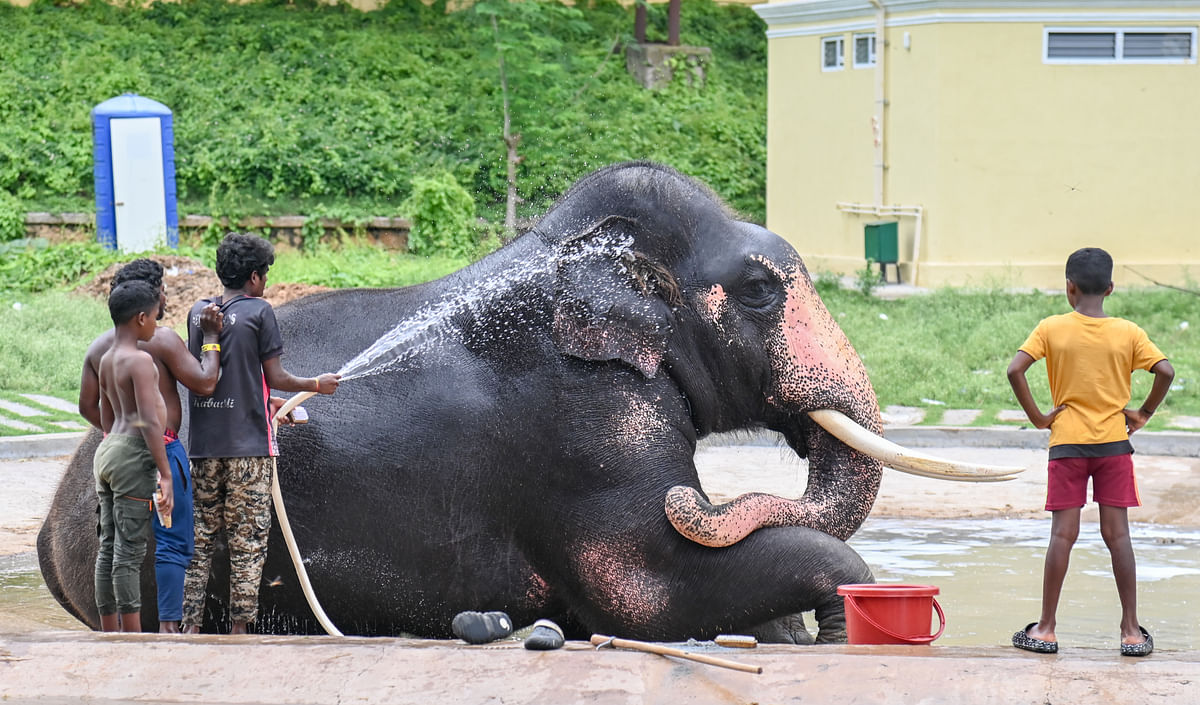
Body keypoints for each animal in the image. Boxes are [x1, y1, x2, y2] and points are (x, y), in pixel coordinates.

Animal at [37, 163, 1008, 642]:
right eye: (762, 292)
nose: (695, 493)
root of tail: (49, 522)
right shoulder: (583, 428)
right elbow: (645, 595)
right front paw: (831, 625)